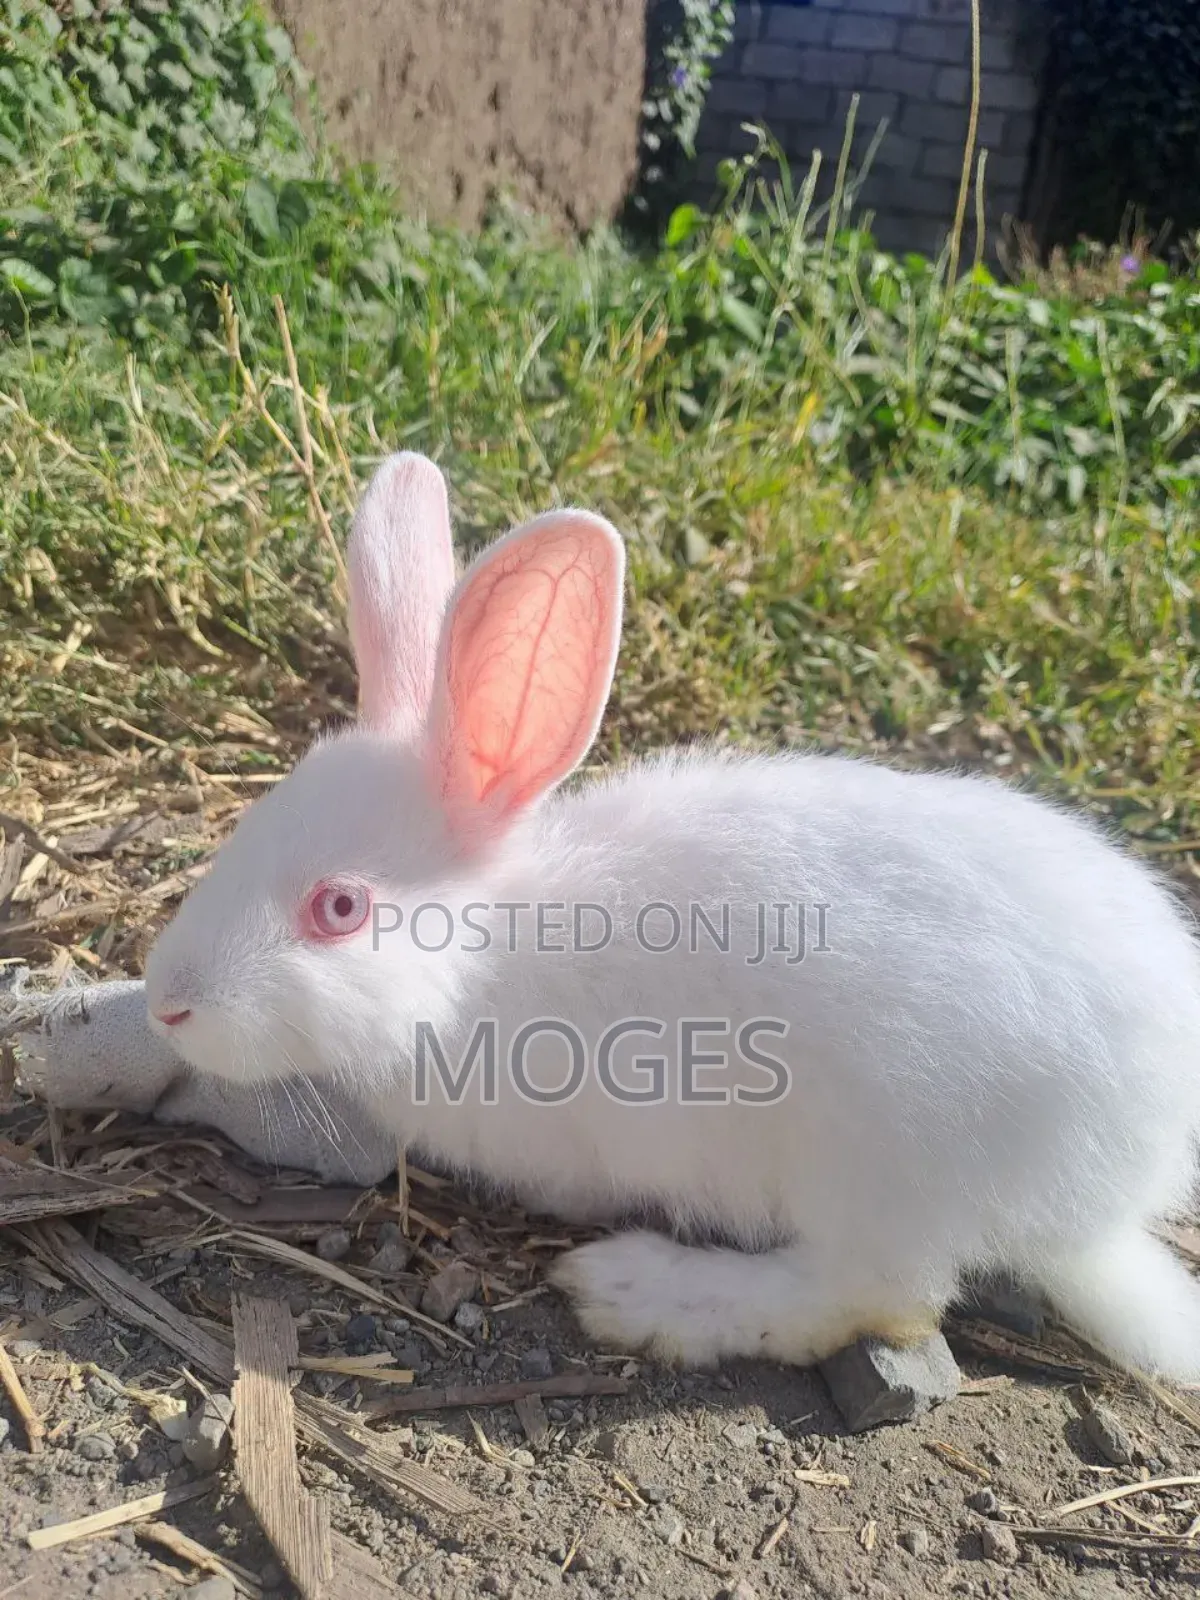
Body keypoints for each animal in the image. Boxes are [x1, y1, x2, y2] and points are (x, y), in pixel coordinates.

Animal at [142, 450, 1200, 1382]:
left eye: (340, 907)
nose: (167, 1006)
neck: (484, 959)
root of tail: (1123, 1183)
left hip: (879, 1171)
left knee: (874, 1298)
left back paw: (639, 1292)